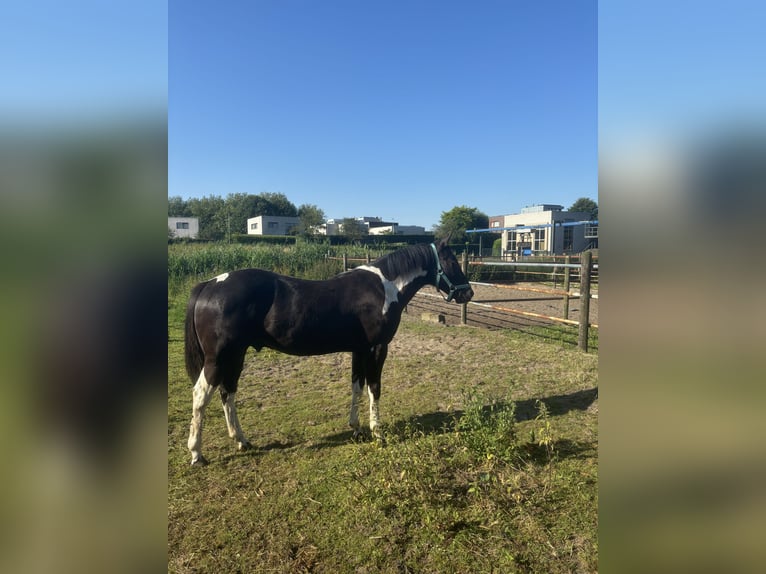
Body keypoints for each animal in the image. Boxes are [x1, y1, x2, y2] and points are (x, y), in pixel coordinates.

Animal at [185, 240, 474, 468]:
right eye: (451, 260)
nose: (468, 292)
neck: (384, 287)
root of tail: (210, 285)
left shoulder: (359, 349)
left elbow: (357, 386)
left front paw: (356, 428)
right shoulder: (377, 348)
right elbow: (374, 388)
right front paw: (377, 433)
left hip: (235, 355)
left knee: (228, 392)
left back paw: (242, 440)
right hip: (218, 358)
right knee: (201, 396)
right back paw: (197, 454)